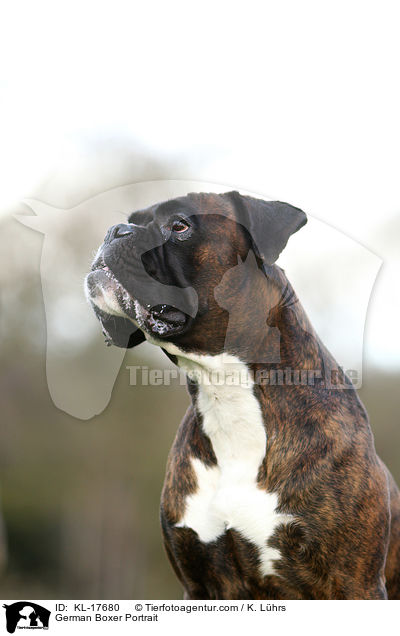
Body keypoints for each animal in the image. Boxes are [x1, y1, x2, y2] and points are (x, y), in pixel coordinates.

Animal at [84, 191, 400, 600]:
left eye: (179, 225)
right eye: (133, 220)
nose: (115, 230)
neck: (225, 390)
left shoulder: (354, 583)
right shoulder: (198, 585)